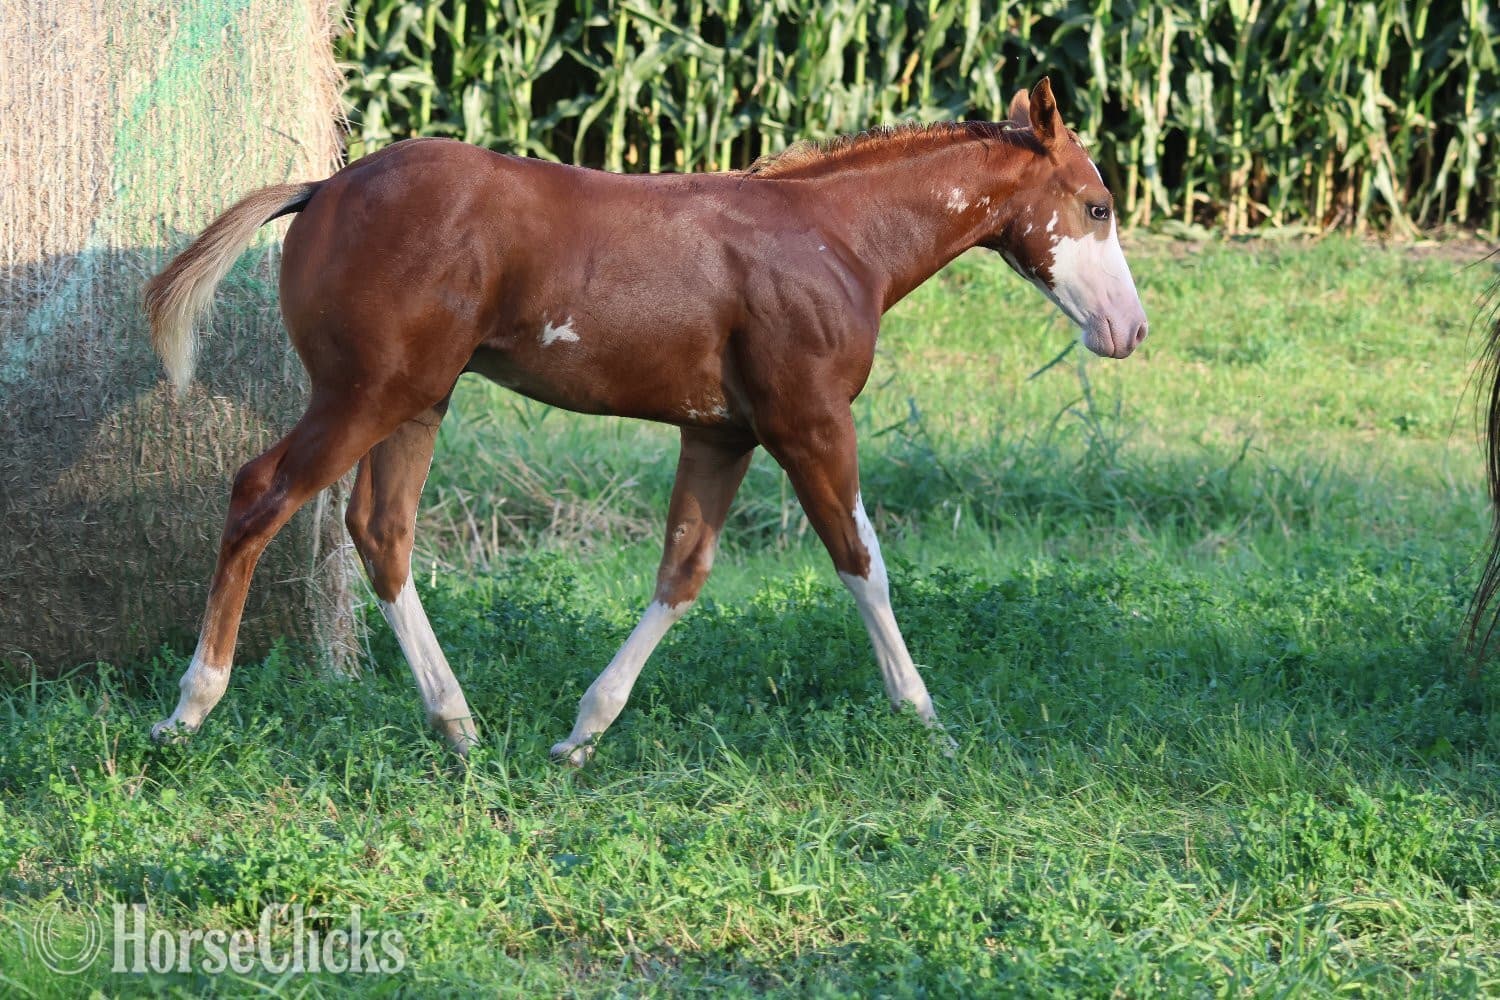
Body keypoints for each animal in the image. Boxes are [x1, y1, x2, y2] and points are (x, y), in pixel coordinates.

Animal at [144, 78, 1148, 763]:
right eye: (1096, 205)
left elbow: (683, 571)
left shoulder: (722, 432)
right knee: (260, 494)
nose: (1128, 331)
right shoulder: (809, 421)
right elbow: (863, 563)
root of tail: (322, 189)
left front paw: (581, 733)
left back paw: (458, 723)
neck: (836, 239)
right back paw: (190, 708)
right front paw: (926, 721)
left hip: (419, 400)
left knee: (379, 530)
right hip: (365, 394)